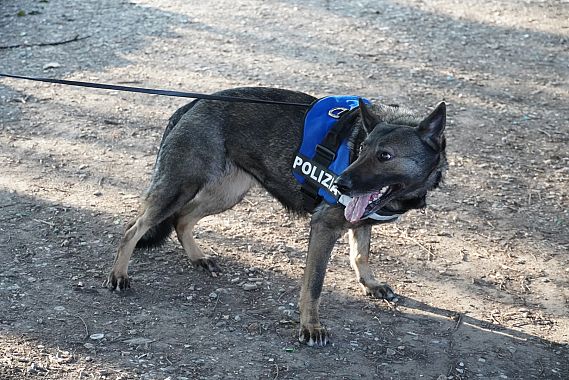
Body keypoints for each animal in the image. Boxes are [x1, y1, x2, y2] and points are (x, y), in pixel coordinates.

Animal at [104, 88, 446, 348]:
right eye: (361, 149)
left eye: (384, 156)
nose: (340, 184)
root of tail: (193, 103)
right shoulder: (324, 227)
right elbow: (314, 286)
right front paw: (310, 326)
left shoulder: (358, 220)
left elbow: (360, 255)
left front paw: (370, 284)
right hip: (179, 187)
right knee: (133, 228)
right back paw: (119, 275)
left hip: (226, 194)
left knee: (182, 220)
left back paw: (198, 258)